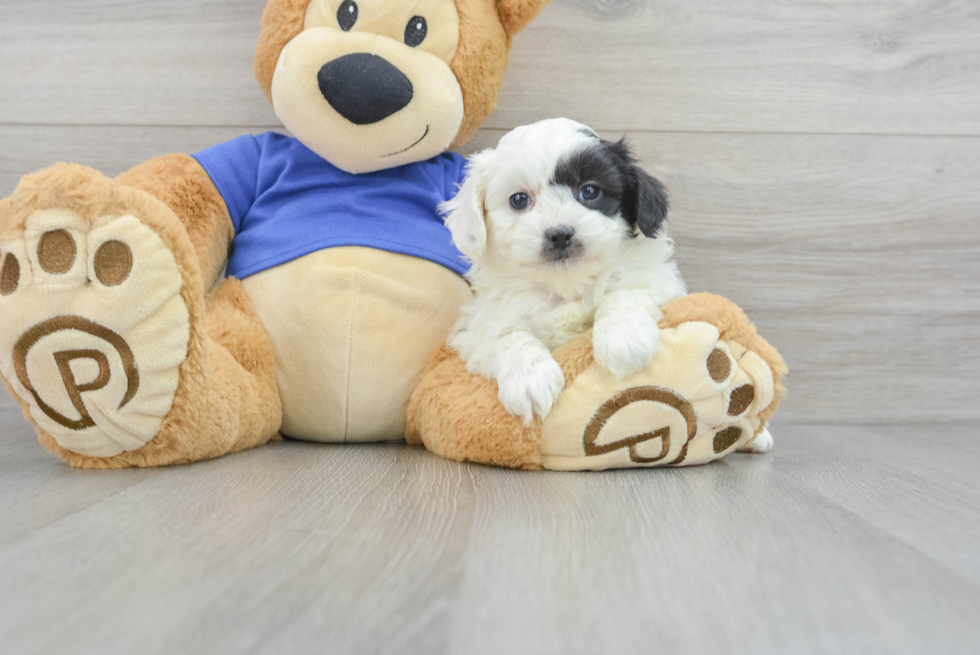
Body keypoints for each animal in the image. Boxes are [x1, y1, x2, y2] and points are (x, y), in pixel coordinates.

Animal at [440, 118, 684, 426]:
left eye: (590, 191)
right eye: (518, 200)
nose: (559, 234)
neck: (564, 284)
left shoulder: (660, 282)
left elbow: (623, 293)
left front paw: (623, 338)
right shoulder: (477, 328)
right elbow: (507, 336)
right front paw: (530, 379)